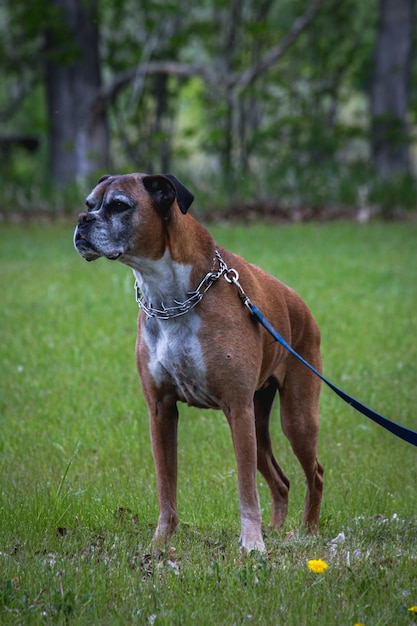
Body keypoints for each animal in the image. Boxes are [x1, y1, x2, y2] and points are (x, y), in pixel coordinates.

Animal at [74, 172, 322, 552]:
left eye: (118, 205)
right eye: (89, 203)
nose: (82, 220)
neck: (170, 297)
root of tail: (300, 304)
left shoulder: (237, 409)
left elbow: (246, 492)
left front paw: (252, 545)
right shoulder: (161, 411)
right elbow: (166, 489)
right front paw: (160, 544)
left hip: (295, 420)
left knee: (315, 475)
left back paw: (306, 533)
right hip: (259, 424)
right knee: (281, 482)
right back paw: (278, 529)